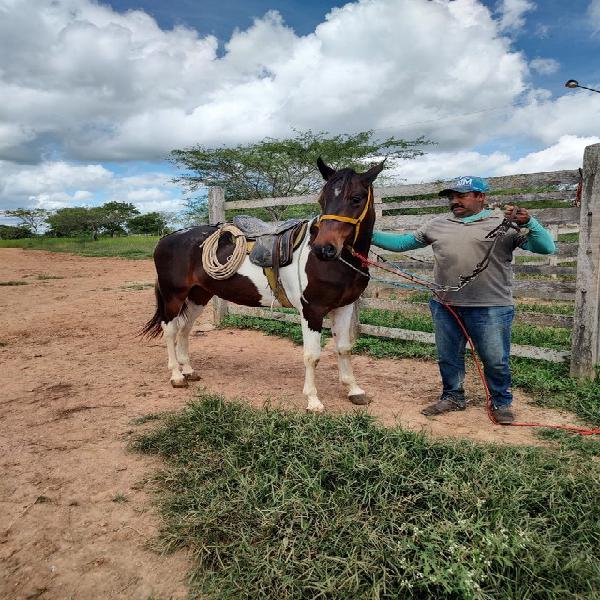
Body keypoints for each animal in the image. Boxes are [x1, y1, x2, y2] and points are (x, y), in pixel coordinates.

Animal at [143, 158, 382, 412]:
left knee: (185, 328)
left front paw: (354, 390)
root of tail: (166, 238)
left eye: (356, 198)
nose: (323, 249)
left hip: (199, 295)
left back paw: (188, 370)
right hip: (173, 296)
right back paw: (177, 376)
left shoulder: (344, 307)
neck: (337, 263)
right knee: (170, 330)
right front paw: (313, 400)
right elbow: (312, 355)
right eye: (322, 199)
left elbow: (344, 348)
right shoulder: (312, 311)